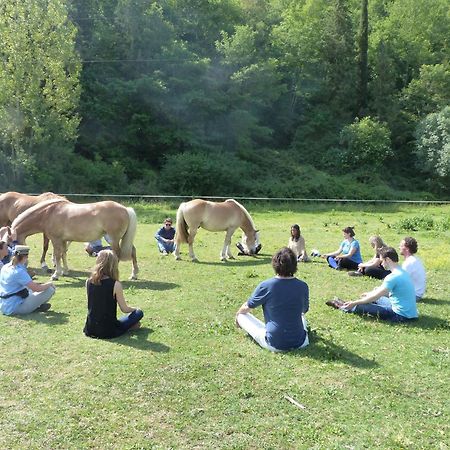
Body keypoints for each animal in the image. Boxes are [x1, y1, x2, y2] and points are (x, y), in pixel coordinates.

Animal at [11, 199, 140, 280]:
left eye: (11, 244)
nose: (13, 263)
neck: (48, 213)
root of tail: (125, 209)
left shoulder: (56, 240)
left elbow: (57, 255)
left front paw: (56, 274)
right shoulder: (63, 240)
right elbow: (63, 254)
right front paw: (65, 271)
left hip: (113, 239)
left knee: (117, 254)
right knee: (133, 251)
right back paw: (134, 275)